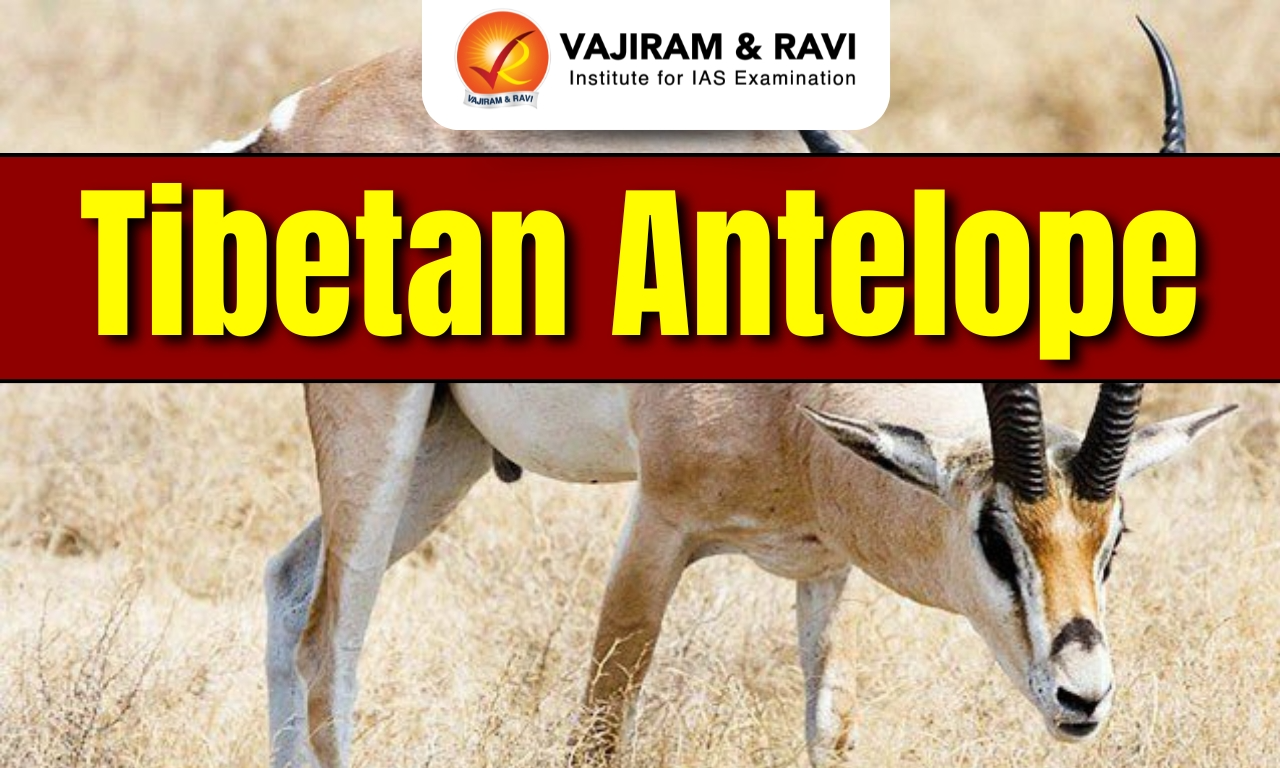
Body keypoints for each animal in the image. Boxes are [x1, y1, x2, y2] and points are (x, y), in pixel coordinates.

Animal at [249, 18, 1204, 768]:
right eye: (995, 537)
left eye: (1112, 538)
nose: (1084, 696)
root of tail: (295, 114)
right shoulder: (657, 525)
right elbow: (600, 729)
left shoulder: (825, 567)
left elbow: (830, 730)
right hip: (379, 420)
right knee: (329, 643)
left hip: (446, 445)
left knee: (291, 580)